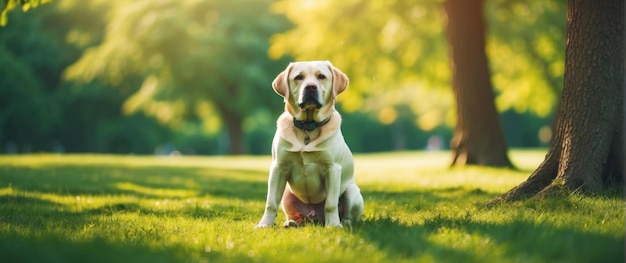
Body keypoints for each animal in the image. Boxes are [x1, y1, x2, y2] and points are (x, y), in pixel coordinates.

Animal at [254, 60, 360, 228]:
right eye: (299, 77)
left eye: (321, 76)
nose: (310, 86)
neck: (307, 127)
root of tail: (315, 218)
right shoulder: (278, 167)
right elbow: (270, 202)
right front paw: (265, 224)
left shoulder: (332, 168)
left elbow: (330, 203)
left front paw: (333, 225)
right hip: (287, 195)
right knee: (296, 216)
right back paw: (291, 222)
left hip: (352, 191)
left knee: (348, 213)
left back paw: (345, 223)